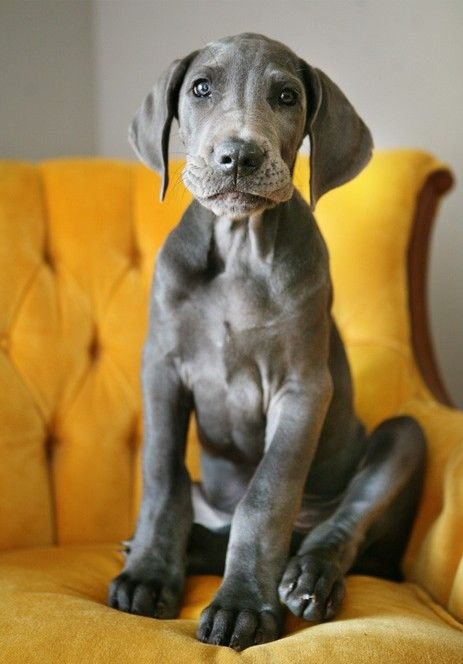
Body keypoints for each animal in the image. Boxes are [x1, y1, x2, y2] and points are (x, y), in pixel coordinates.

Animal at [108, 33, 424, 652]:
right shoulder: (161, 370)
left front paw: (243, 605)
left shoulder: (302, 389)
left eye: (286, 96)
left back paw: (308, 578)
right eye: (200, 88)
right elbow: (160, 475)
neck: (238, 250)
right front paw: (150, 573)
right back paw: (182, 548)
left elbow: (266, 495)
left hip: (402, 440)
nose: (238, 156)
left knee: (339, 529)